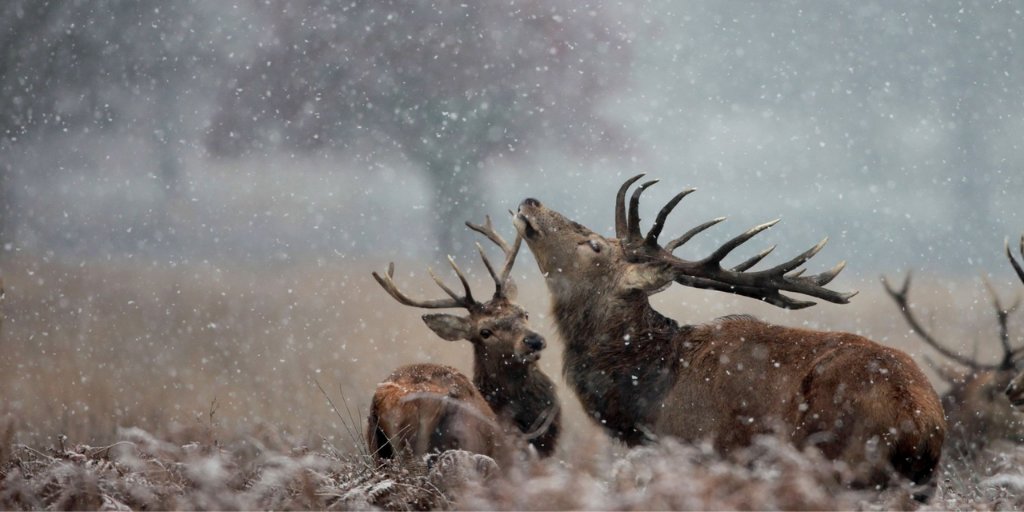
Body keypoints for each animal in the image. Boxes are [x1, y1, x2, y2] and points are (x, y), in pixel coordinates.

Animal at [512, 174, 946, 497]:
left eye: (595, 245)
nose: (530, 202)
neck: (648, 400)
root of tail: (920, 420)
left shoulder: (701, 452)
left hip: (842, 464)